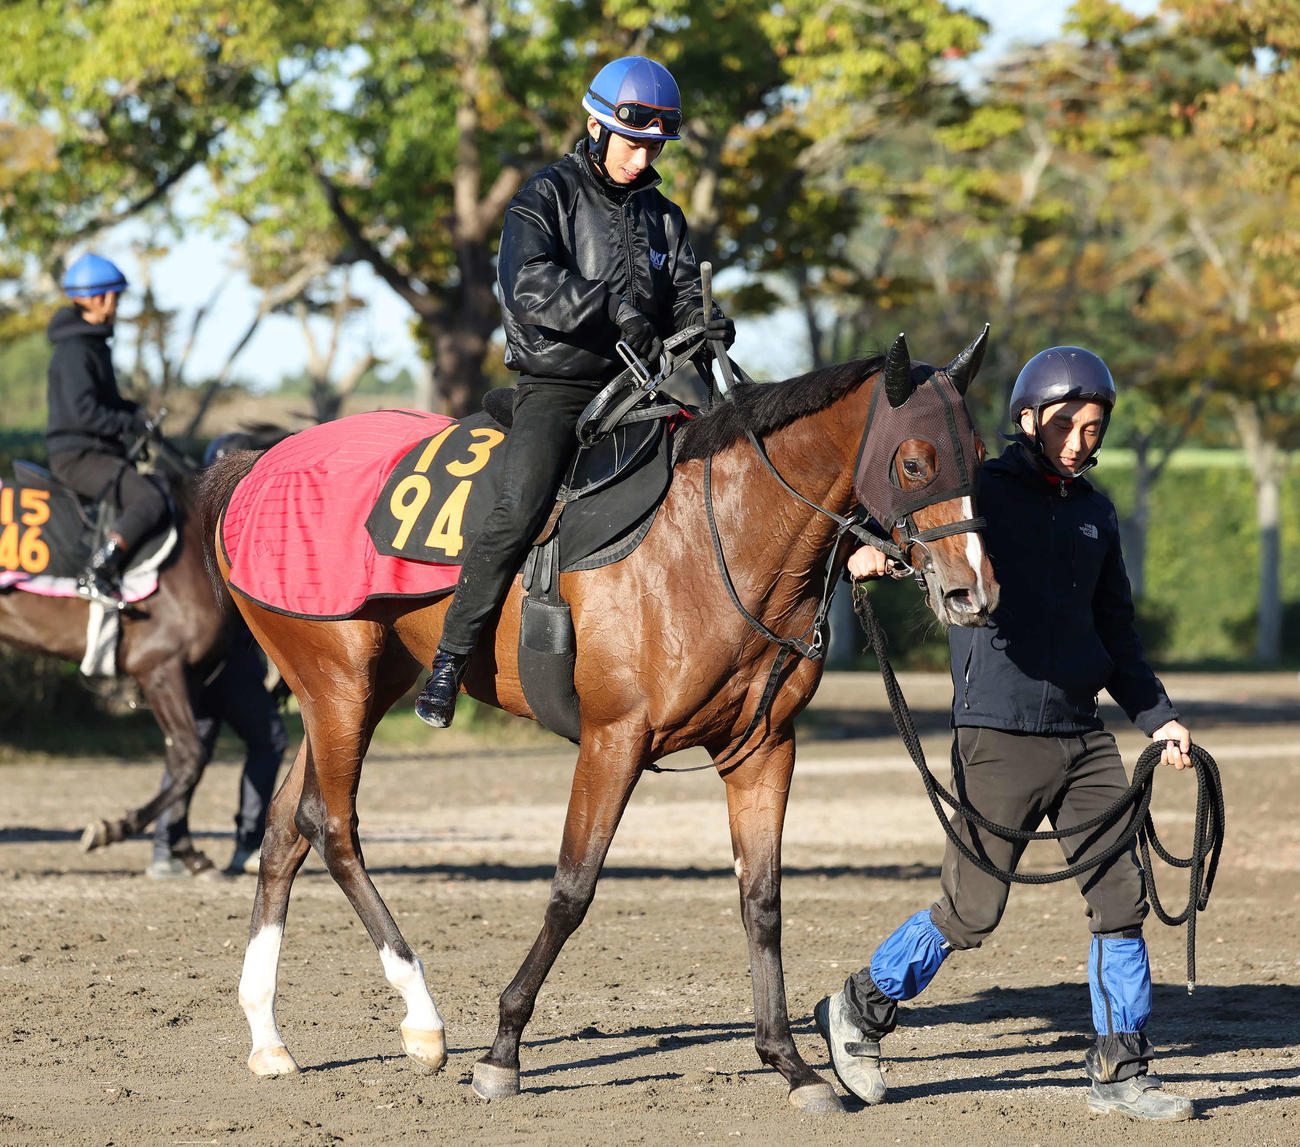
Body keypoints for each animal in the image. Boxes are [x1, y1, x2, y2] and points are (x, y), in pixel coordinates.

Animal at [198, 330, 1000, 1113]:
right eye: (916, 460)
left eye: (981, 455)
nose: (973, 591)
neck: (709, 541)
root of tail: (257, 465)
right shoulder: (613, 739)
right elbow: (572, 890)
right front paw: (502, 1050)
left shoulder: (764, 747)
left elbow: (762, 900)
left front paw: (791, 1063)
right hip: (340, 684)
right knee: (333, 828)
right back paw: (422, 1020)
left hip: (348, 689)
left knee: (288, 827)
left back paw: (269, 1037)